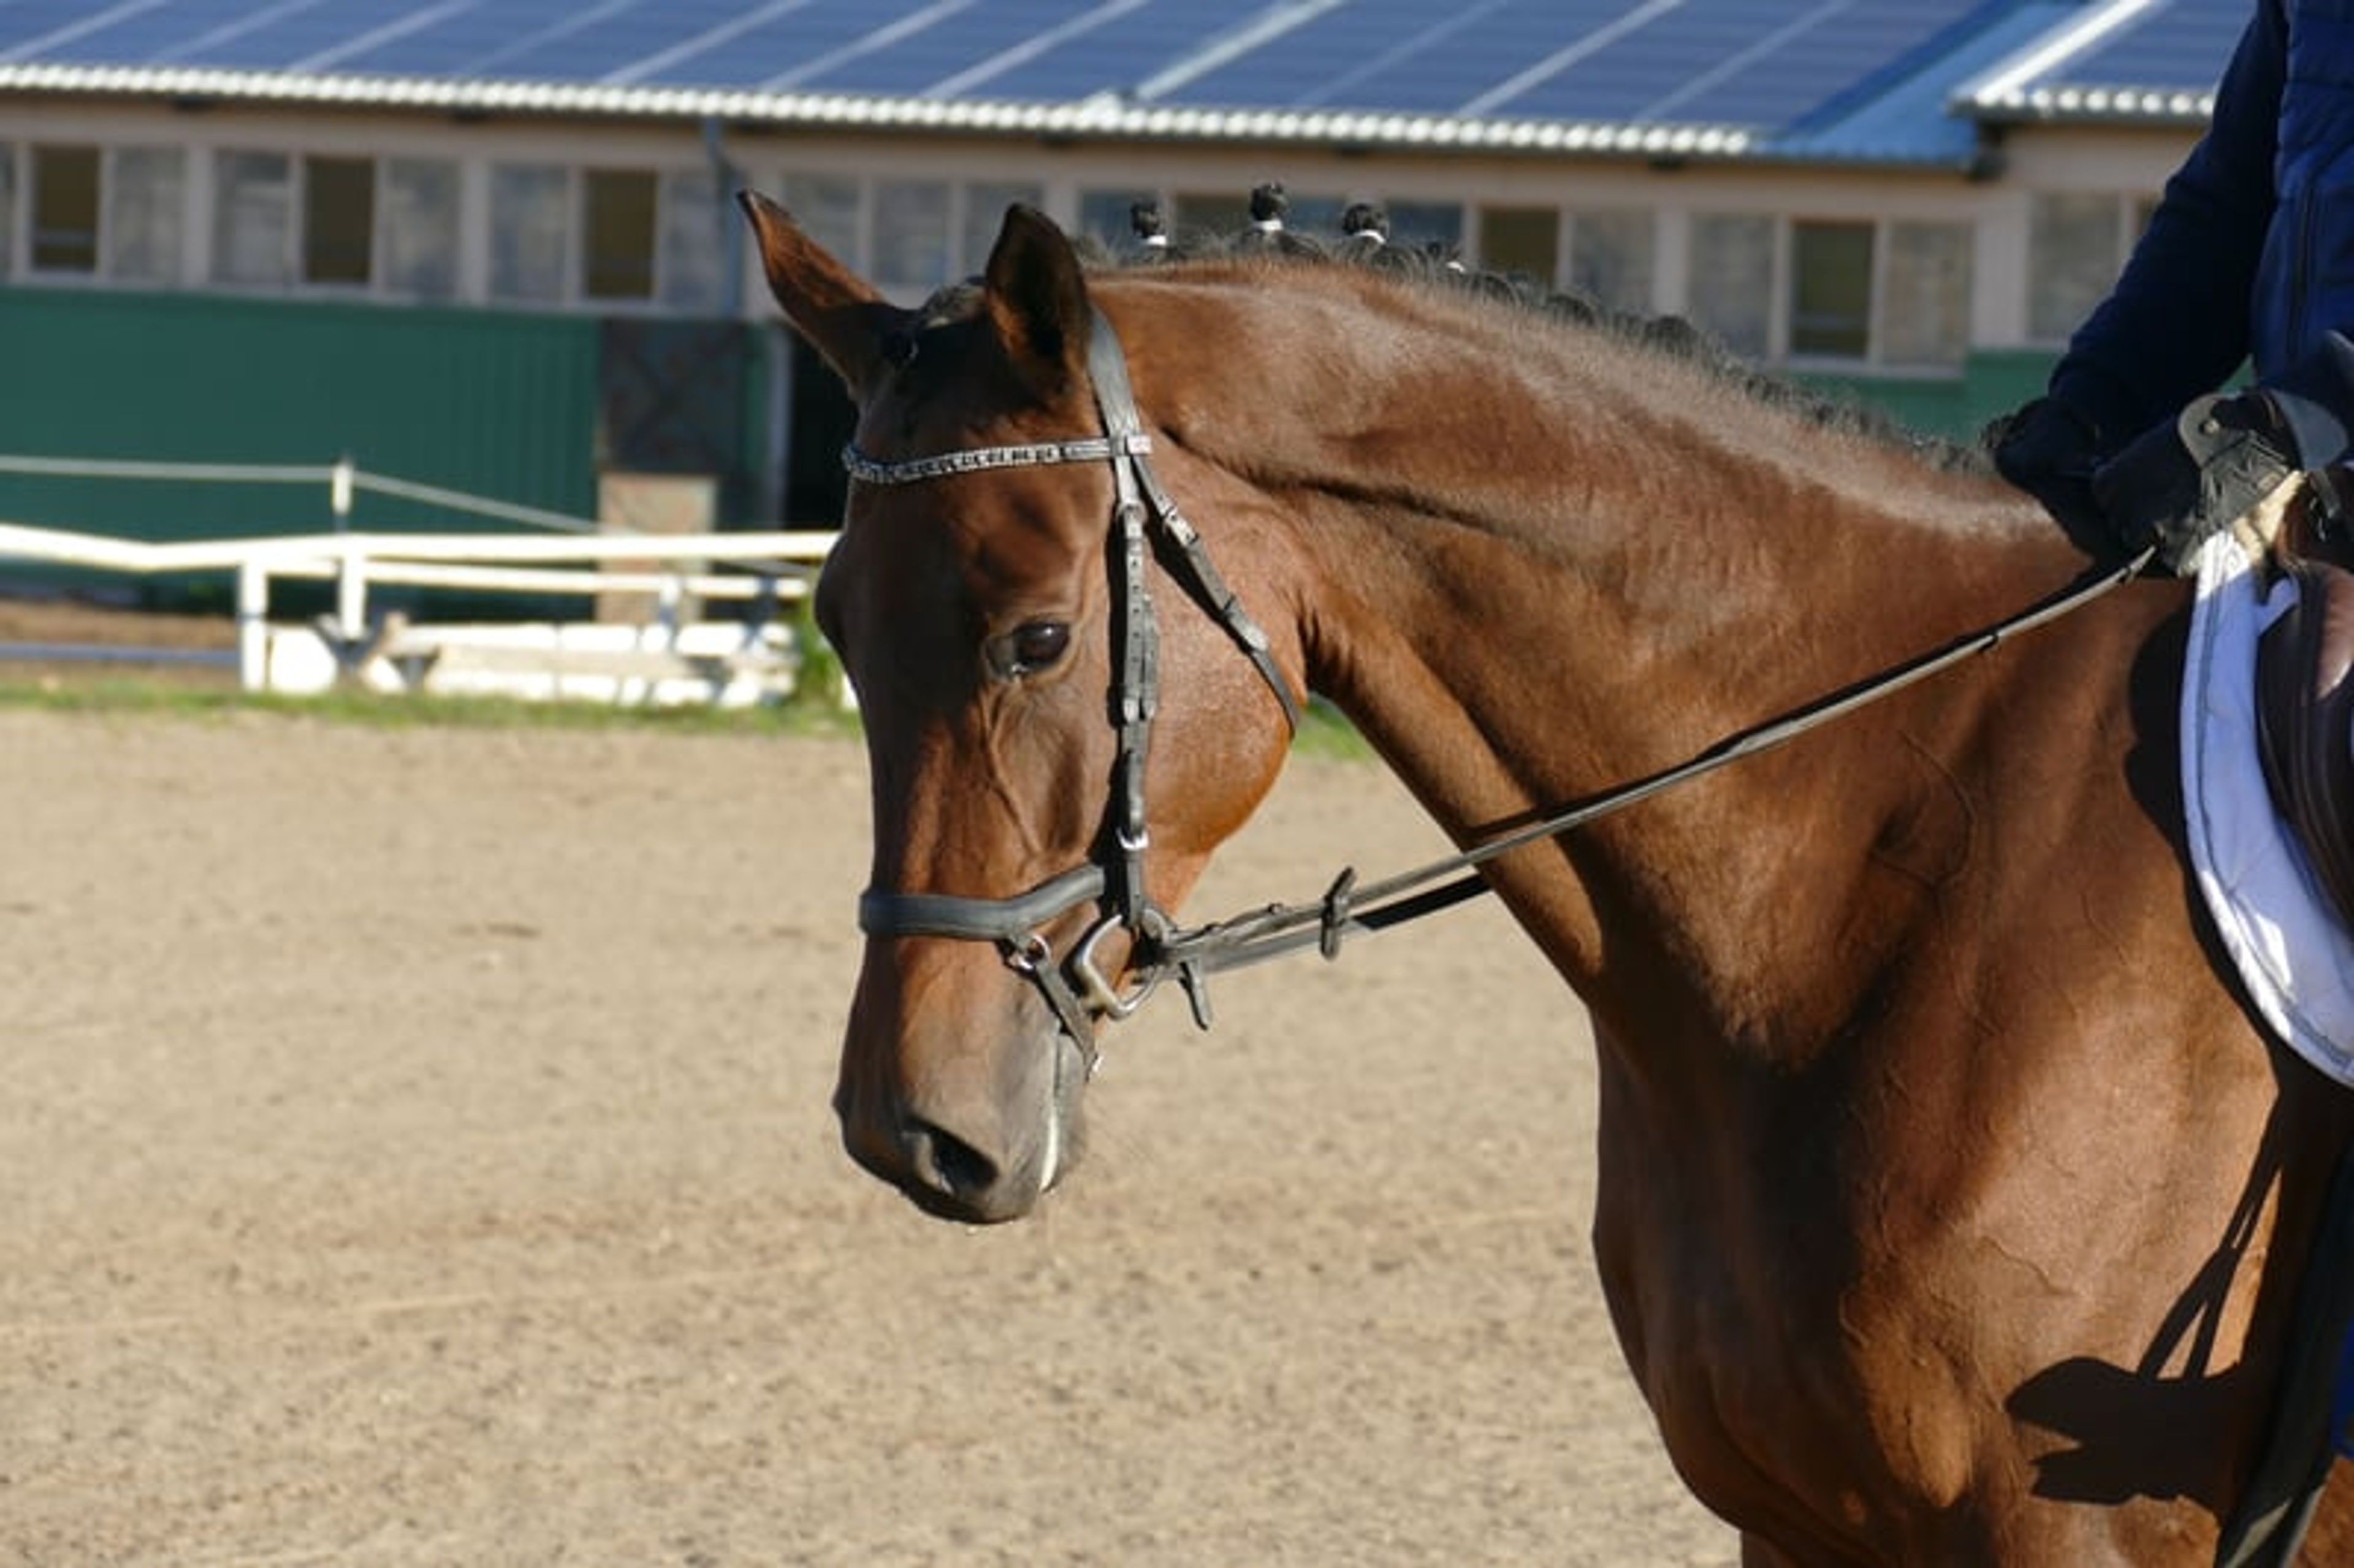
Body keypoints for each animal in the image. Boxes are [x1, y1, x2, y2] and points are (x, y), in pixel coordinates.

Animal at [739, 187, 2354, 1565]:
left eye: (1037, 639)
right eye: (835, 626)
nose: (910, 1129)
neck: (1891, 846)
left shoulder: (2067, 1536)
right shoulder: (1799, 1521)